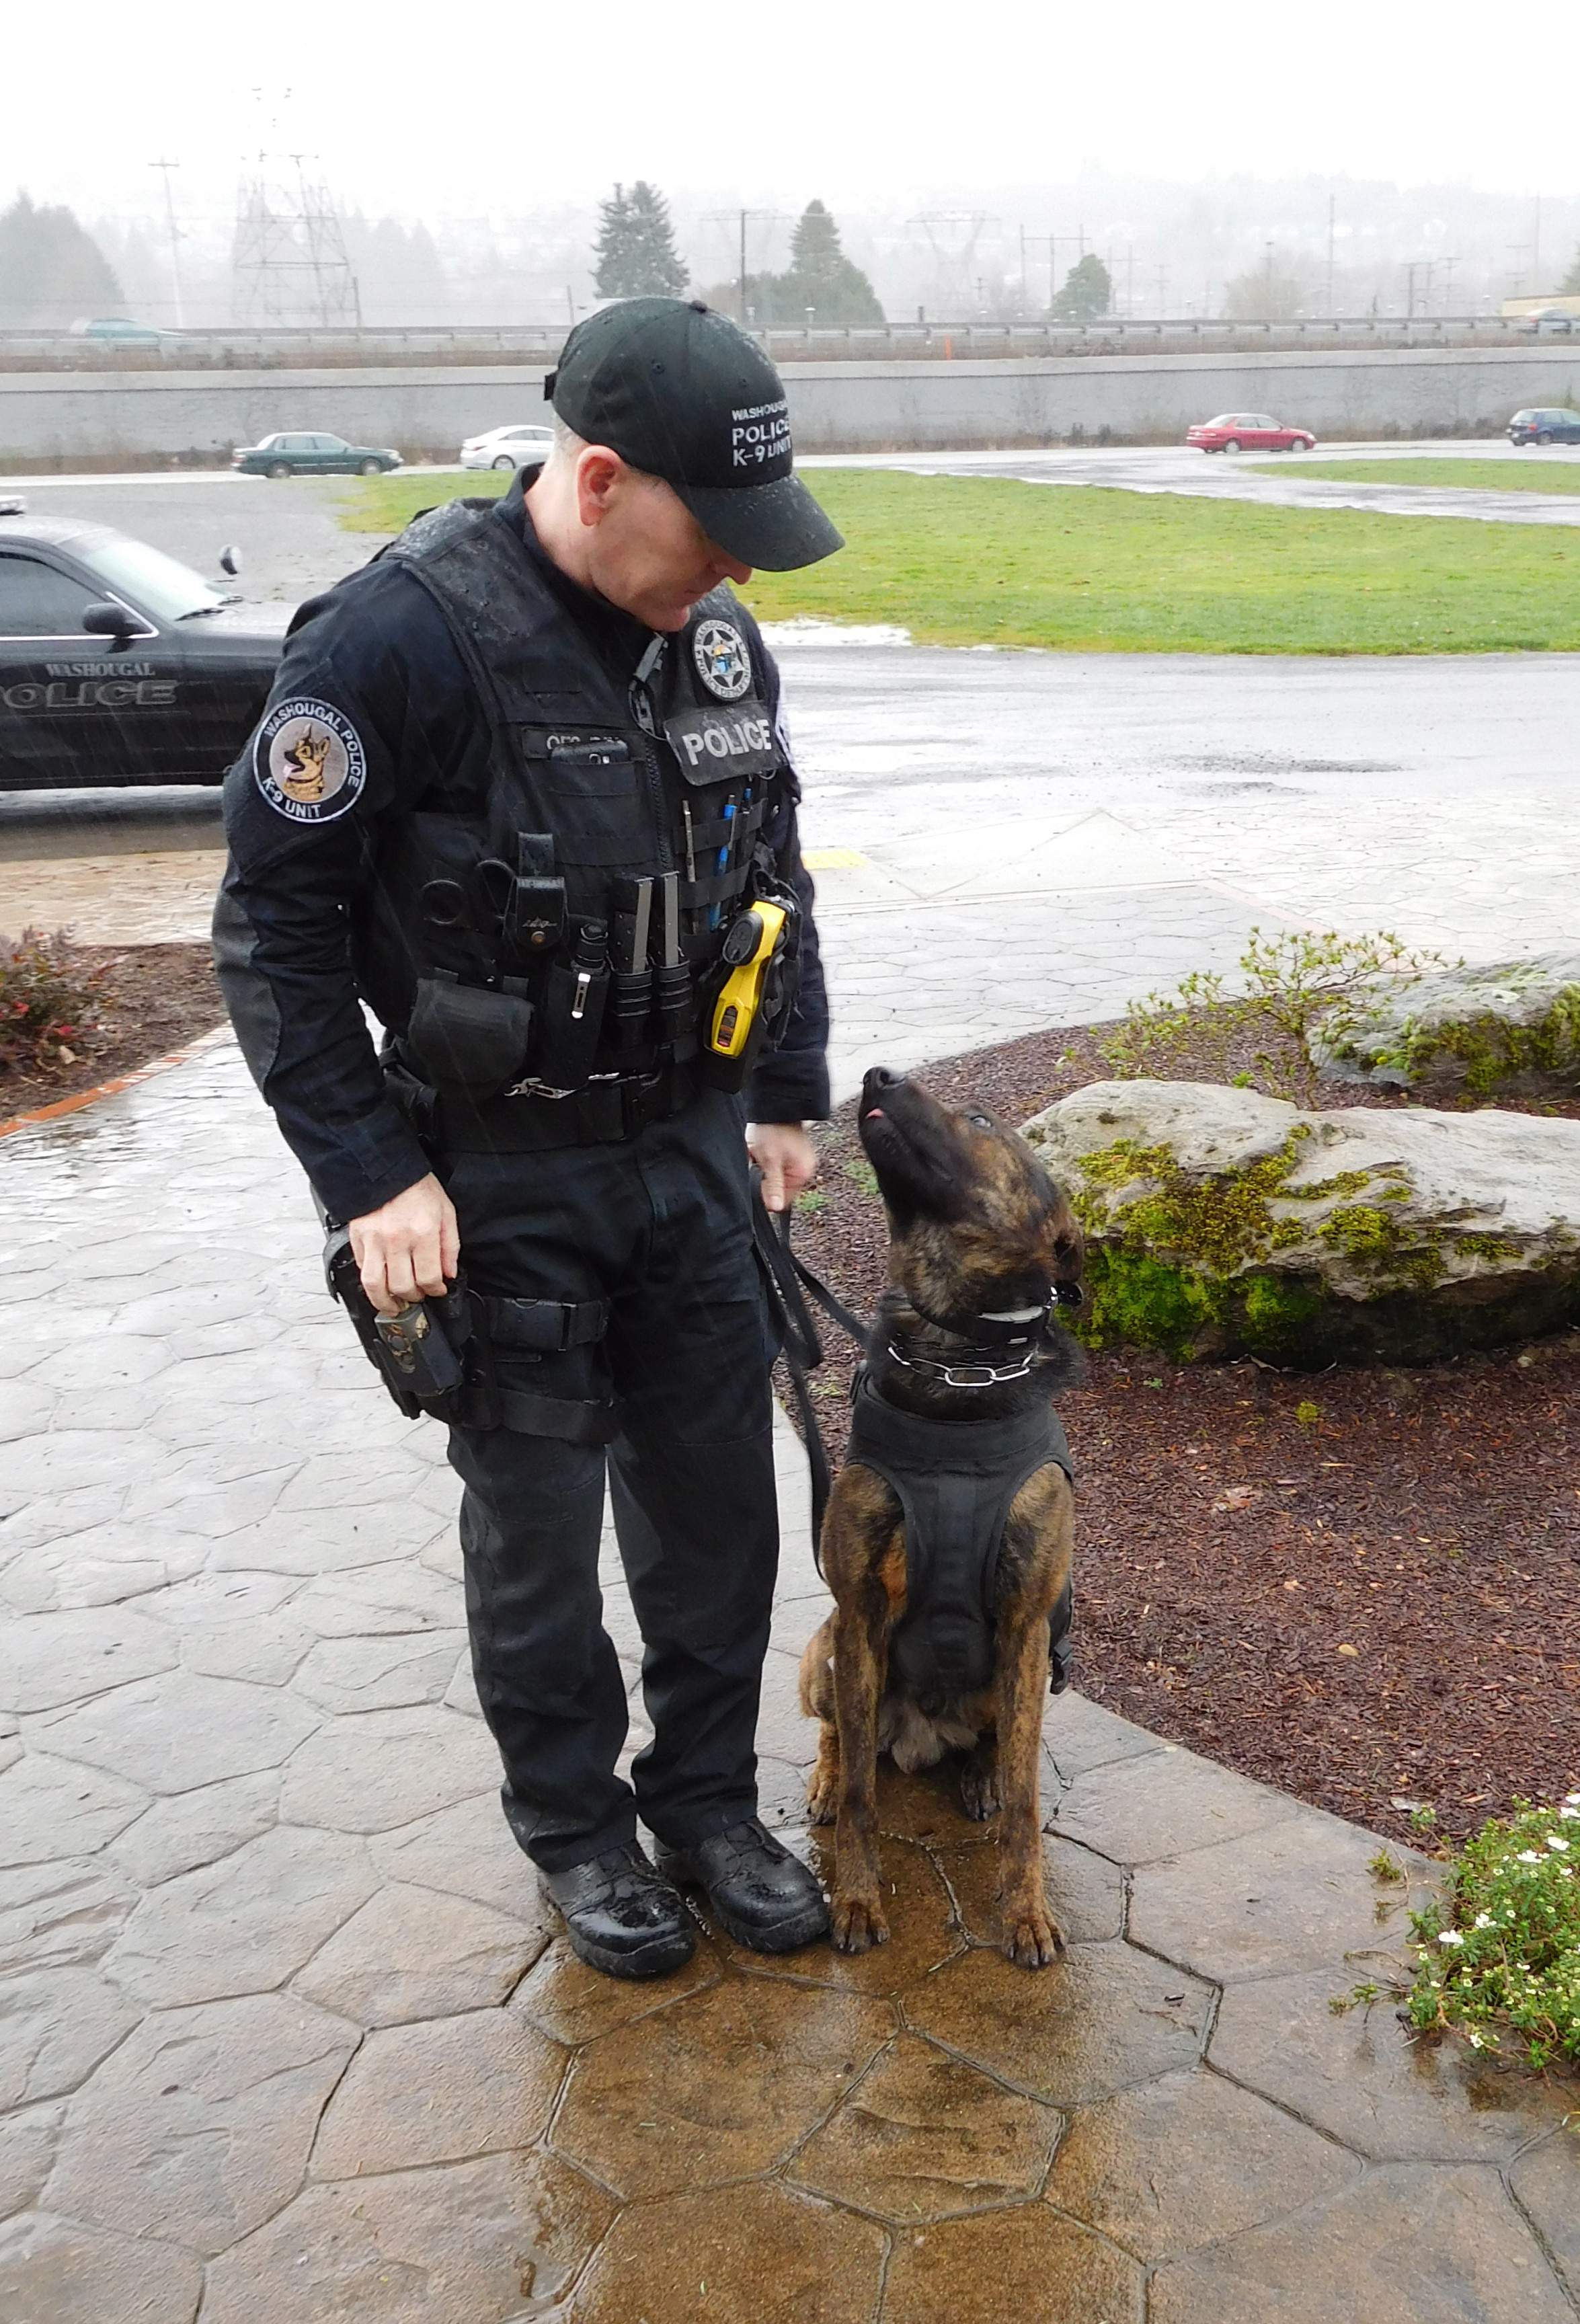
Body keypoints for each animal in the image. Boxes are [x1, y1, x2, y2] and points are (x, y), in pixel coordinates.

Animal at [803, 1064, 1087, 1961]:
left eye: (979, 1118)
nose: (875, 1074)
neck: (956, 1360)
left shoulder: (1028, 1624)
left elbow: (1028, 1802)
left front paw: (1025, 1913)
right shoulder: (858, 1612)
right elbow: (863, 1798)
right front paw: (857, 1901)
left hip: (1012, 1675)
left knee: (998, 1747)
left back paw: (980, 1777)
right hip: (823, 1653)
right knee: (842, 1741)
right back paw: (826, 1780)